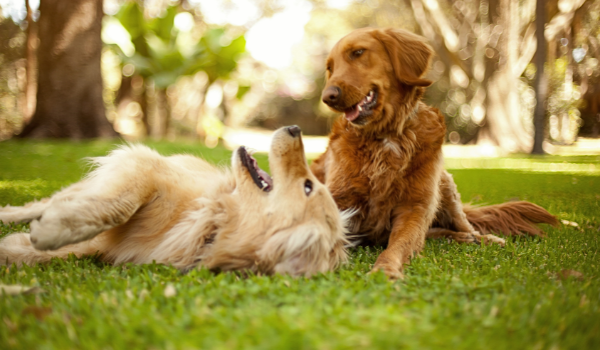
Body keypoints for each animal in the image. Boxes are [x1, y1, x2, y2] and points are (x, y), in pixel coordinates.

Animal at [0, 126, 350, 276]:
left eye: (308, 186)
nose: (295, 127)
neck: (212, 220)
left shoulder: (106, 247)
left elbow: (44, 253)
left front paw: (23, 246)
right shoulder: (144, 166)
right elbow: (118, 206)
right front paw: (51, 231)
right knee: (43, 203)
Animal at [310, 27, 556, 278]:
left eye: (358, 53)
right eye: (330, 68)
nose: (327, 97)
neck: (387, 136)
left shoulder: (415, 207)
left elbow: (398, 245)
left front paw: (385, 270)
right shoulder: (338, 199)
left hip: (445, 186)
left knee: (463, 226)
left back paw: (481, 238)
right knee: (435, 233)